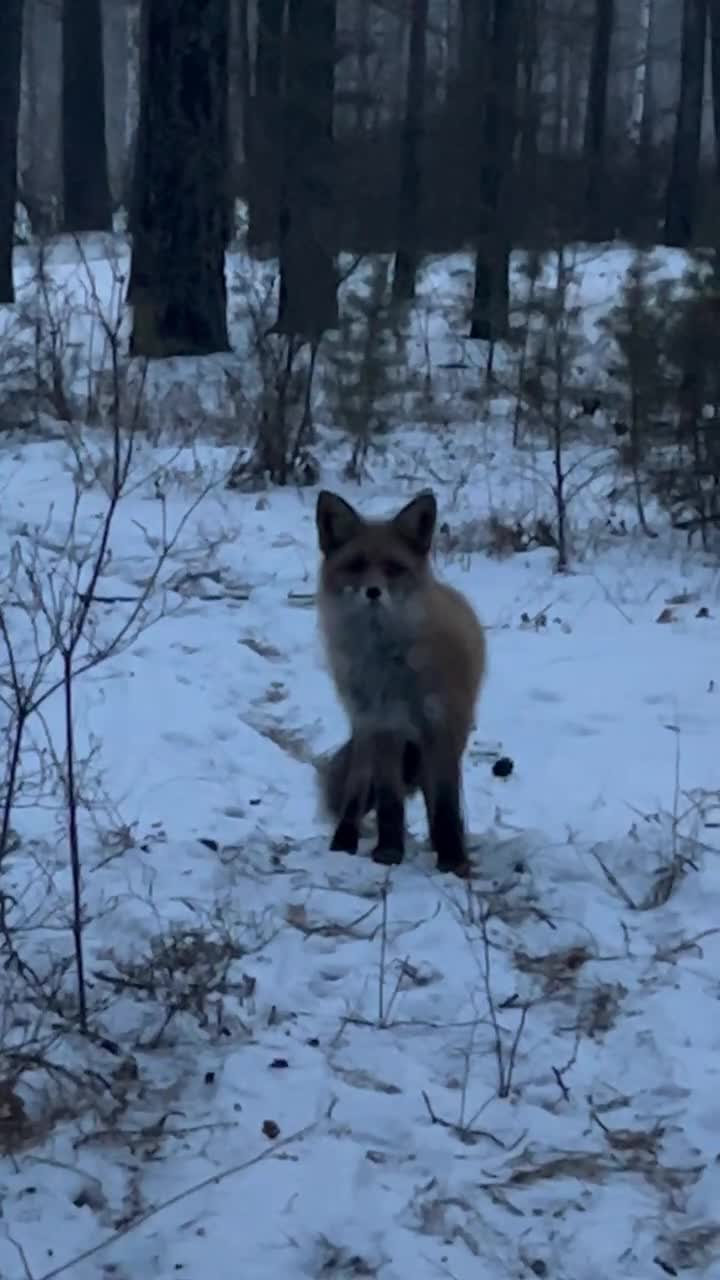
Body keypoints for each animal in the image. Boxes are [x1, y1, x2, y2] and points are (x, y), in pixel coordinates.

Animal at [312, 483, 481, 875]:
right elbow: (390, 802)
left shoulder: (442, 724)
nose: (373, 592)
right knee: (357, 790)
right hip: (366, 733)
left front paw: (451, 857)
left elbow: (445, 803)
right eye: (356, 566)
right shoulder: (384, 725)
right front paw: (389, 852)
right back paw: (344, 841)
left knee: (435, 793)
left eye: (393, 568)